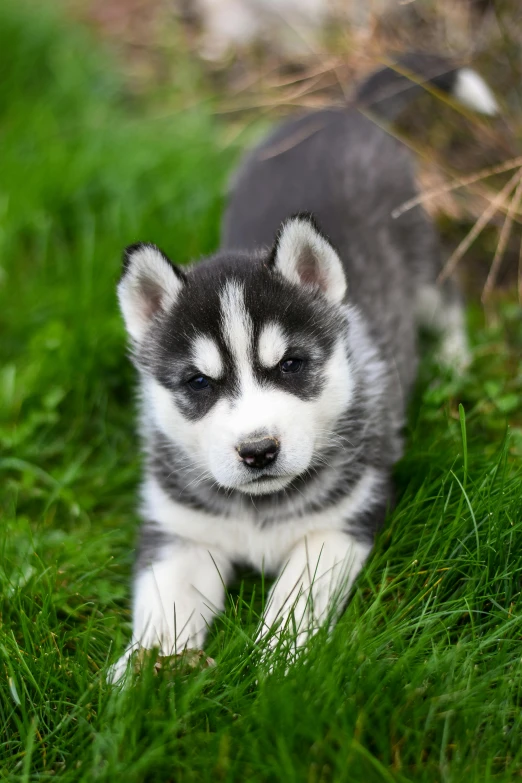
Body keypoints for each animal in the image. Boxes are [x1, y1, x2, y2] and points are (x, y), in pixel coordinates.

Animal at [109, 55, 496, 680]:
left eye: (291, 364)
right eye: (198, 382)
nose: (258, 451)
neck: (260, 507)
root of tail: (340, 110)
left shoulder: (337, 523)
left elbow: (297, 596)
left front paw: (278, 667)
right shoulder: (179, 532)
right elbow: (164, 608)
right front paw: (142, 673)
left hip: (419, 259)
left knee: (448, 300)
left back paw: (453, 365)